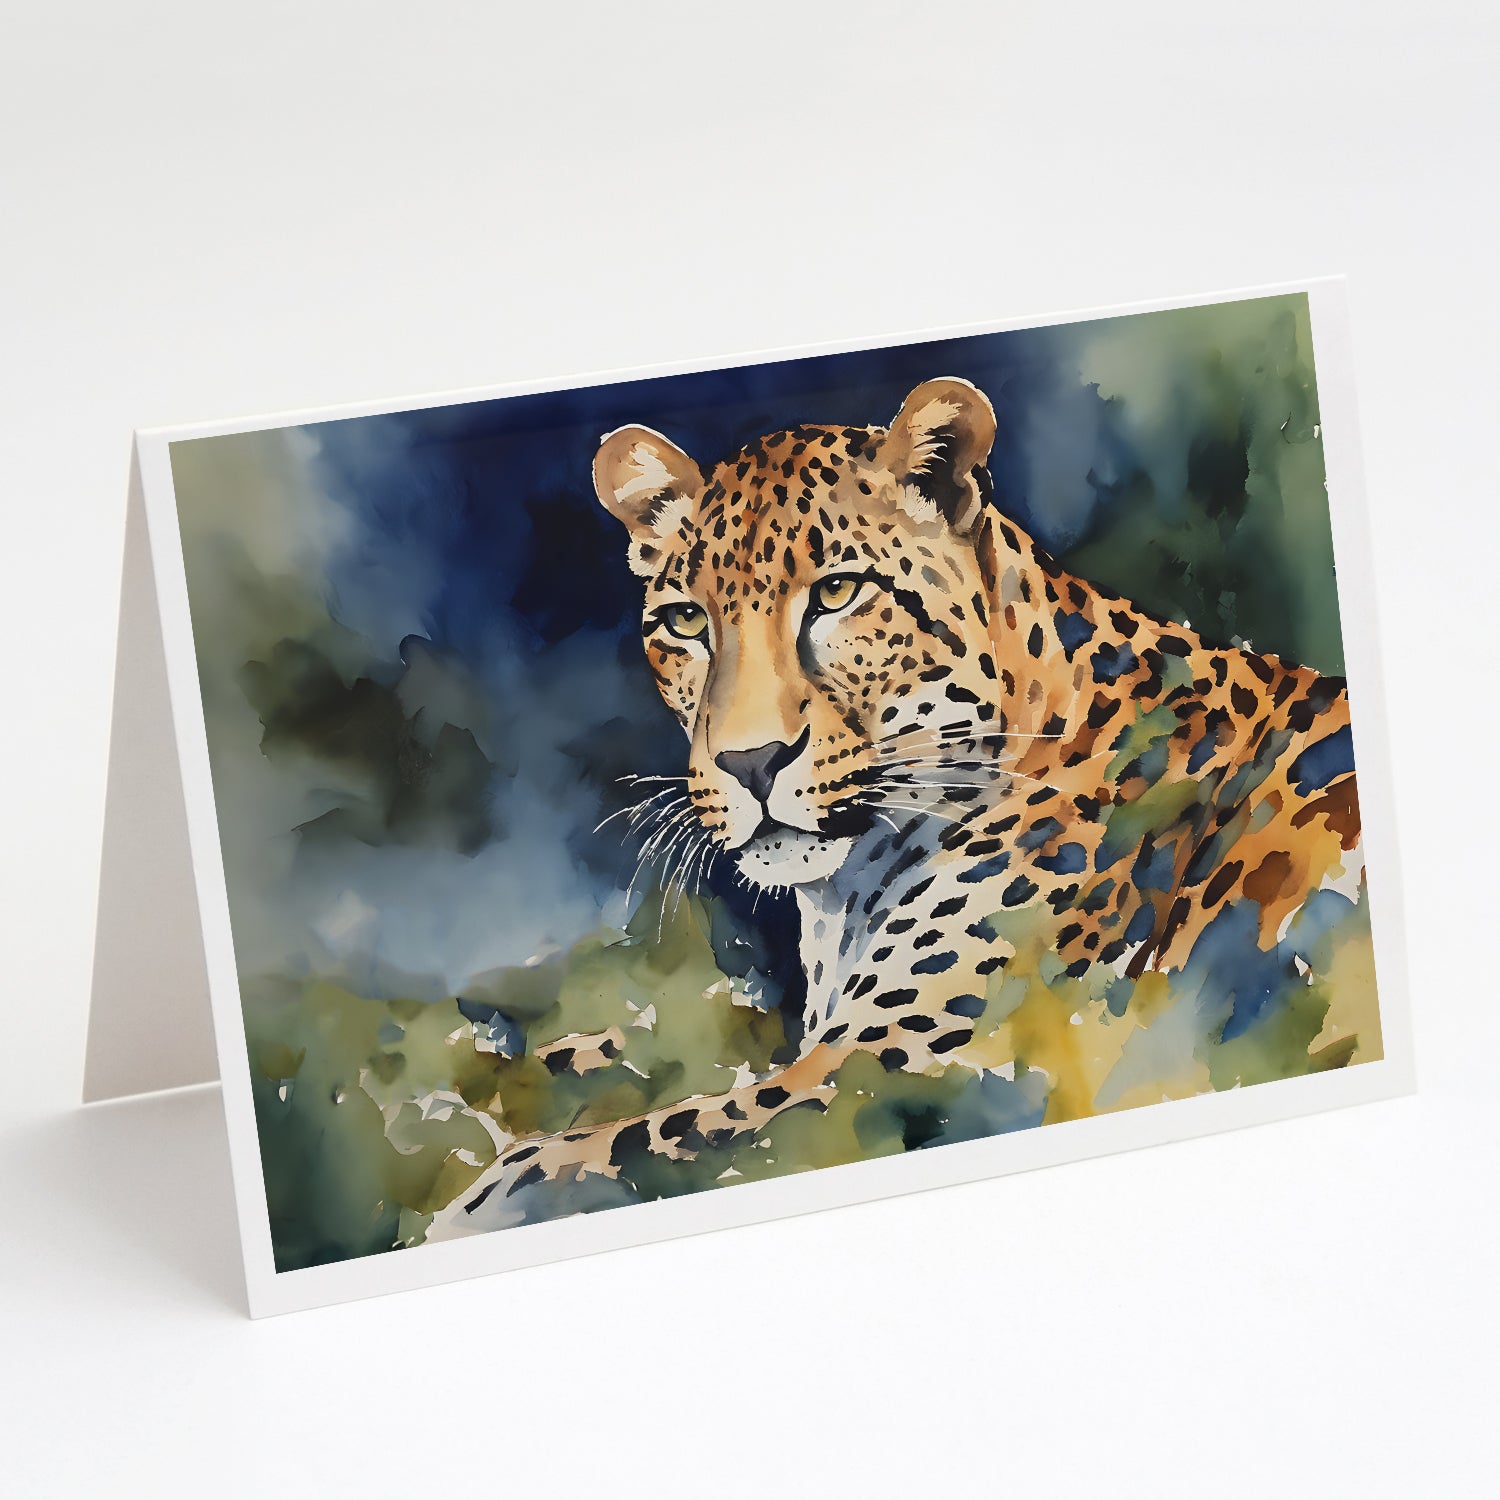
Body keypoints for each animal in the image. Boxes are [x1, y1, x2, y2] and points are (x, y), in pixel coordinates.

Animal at [434, 376, 1364, 1226]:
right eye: (687, 624)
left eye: (838, 594)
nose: (750, 760)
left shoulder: (900, 1065)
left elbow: (637, 1141)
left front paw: (490, 1196)